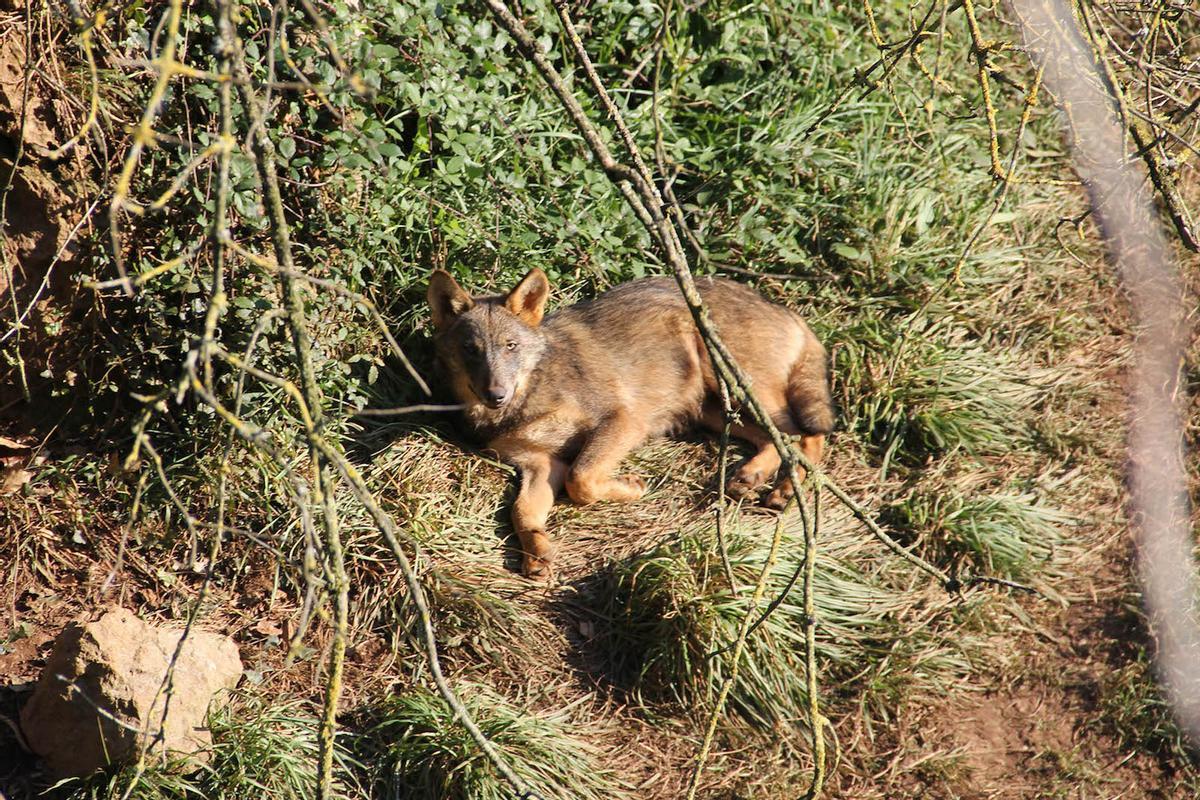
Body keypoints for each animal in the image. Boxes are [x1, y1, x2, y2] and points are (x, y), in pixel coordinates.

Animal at [427, 269, 834, 579]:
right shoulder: (541, 464)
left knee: (804, 437)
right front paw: (537, 552)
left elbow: (581, 481)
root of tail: (786, 310)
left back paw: (785, 491)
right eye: (471, 350)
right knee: (775, 440)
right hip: (717, 411)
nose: (495, 394)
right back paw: (748, 478)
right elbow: (523, 513)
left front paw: (633, 488)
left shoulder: (622, 420)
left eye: (510, 346)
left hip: (739, 389)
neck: (529, 397)